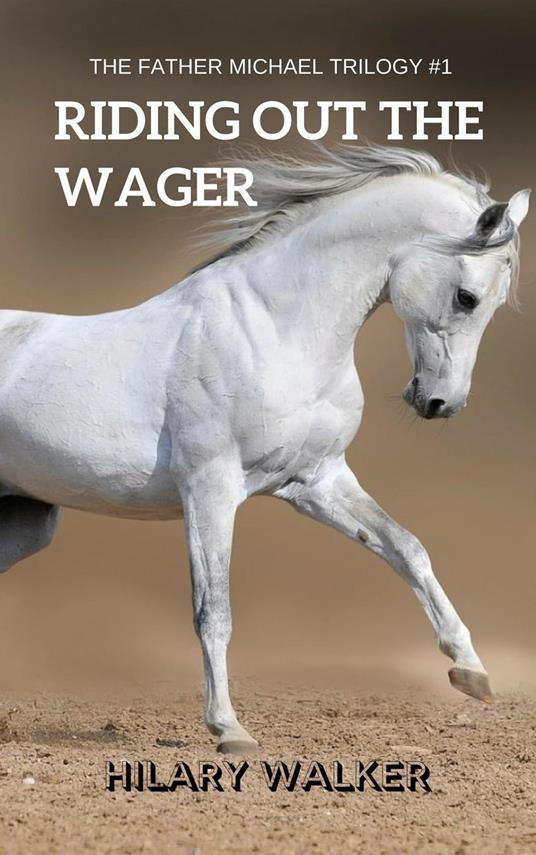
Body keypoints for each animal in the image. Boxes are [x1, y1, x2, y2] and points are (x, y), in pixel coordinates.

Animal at [0, 145, 529, 753]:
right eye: (467, 297)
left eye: (495, 304)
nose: (441, 403)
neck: (276, 330)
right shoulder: (210, 491)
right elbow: (214, 611)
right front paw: (228, 729)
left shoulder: (316, 481)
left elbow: (406, 549)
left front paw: (471, 671)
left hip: (28, 521)